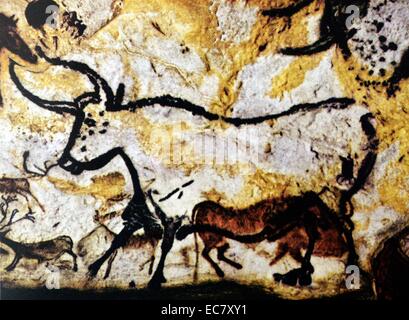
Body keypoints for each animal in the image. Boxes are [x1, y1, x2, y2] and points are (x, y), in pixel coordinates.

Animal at [8, 46, 376, 288]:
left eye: (94, 123)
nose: (66, 162)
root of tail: (362, 117)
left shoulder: (177, 206)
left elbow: (168, 241)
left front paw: (155, 280)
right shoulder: (149, 205)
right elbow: (125, 234)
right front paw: (94, 269)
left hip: (335, 191)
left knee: (345, 227)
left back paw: (348, 272)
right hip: (311, 195)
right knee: (314, 227)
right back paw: (301, 273)